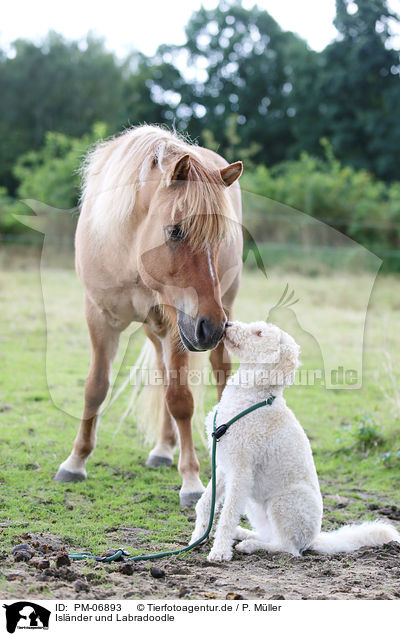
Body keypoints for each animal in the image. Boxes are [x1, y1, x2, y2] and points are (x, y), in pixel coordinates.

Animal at [55, 124, 244, 506]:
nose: (211, 327)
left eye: (220, 237)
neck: (129, 251)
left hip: (216, 313)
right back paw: (162, 449)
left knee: (219, 372)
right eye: (175, 230)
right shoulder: (98, 316)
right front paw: (76, 461)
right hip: (162, 328)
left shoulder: (179, 323)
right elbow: (95, 388)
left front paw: (191, 481)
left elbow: (181, 400)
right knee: (162, 372)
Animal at [191, 322, 400, 560]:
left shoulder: (241, 471)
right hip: (254, 506)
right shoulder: (224, 466)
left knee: (287, 548)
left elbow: (227, 515)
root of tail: (312, 538)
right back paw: (244, 533)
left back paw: (250, 545)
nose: (226, 324)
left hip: (281, 504)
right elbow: (205, 503)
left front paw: (219, 552)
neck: (253, 395)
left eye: (259, 333)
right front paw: (197, 538)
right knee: (271, 537)